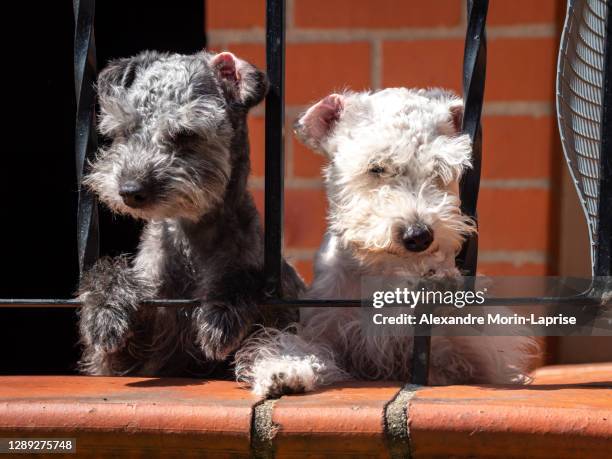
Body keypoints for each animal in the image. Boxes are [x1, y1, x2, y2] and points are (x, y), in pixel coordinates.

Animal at [79, 50, 304, 378]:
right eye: (125, 130)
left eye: (185, 134)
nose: (130, 190)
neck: (192, 241)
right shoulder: (122, 361)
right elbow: (105, 269)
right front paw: (105, 310)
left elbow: (249, 275)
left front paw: (221, 313)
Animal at [235, 88, 540, 398]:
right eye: (376, 167)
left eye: (440, 169)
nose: (418, 235)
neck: (382, 270)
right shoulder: (324, 326)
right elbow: (299, 347)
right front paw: (283, 372)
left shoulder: (479, 352)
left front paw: (443, 281)